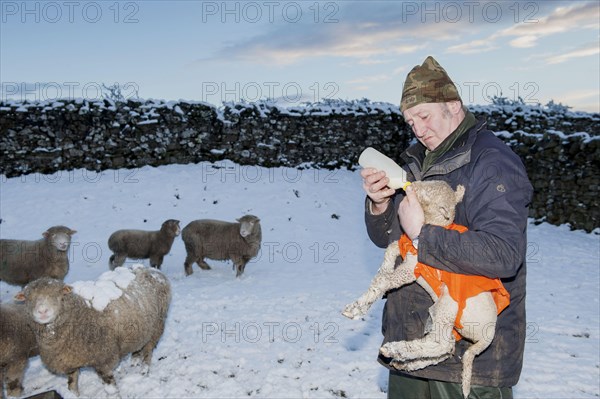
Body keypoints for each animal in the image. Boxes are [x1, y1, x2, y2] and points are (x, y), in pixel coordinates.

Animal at [15, 266, 171, 396]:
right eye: (28, 298)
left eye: (58, 295)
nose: (42, 311)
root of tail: (152, 269)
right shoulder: (70, 363)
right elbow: (72, 384)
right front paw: (73, 395)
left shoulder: (104, 359)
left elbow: (110, 386)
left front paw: (114, 394)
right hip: (139, 330)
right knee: (139, 346)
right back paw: (135, 360)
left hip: (157, 326)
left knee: (148, 349)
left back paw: (144, 368)